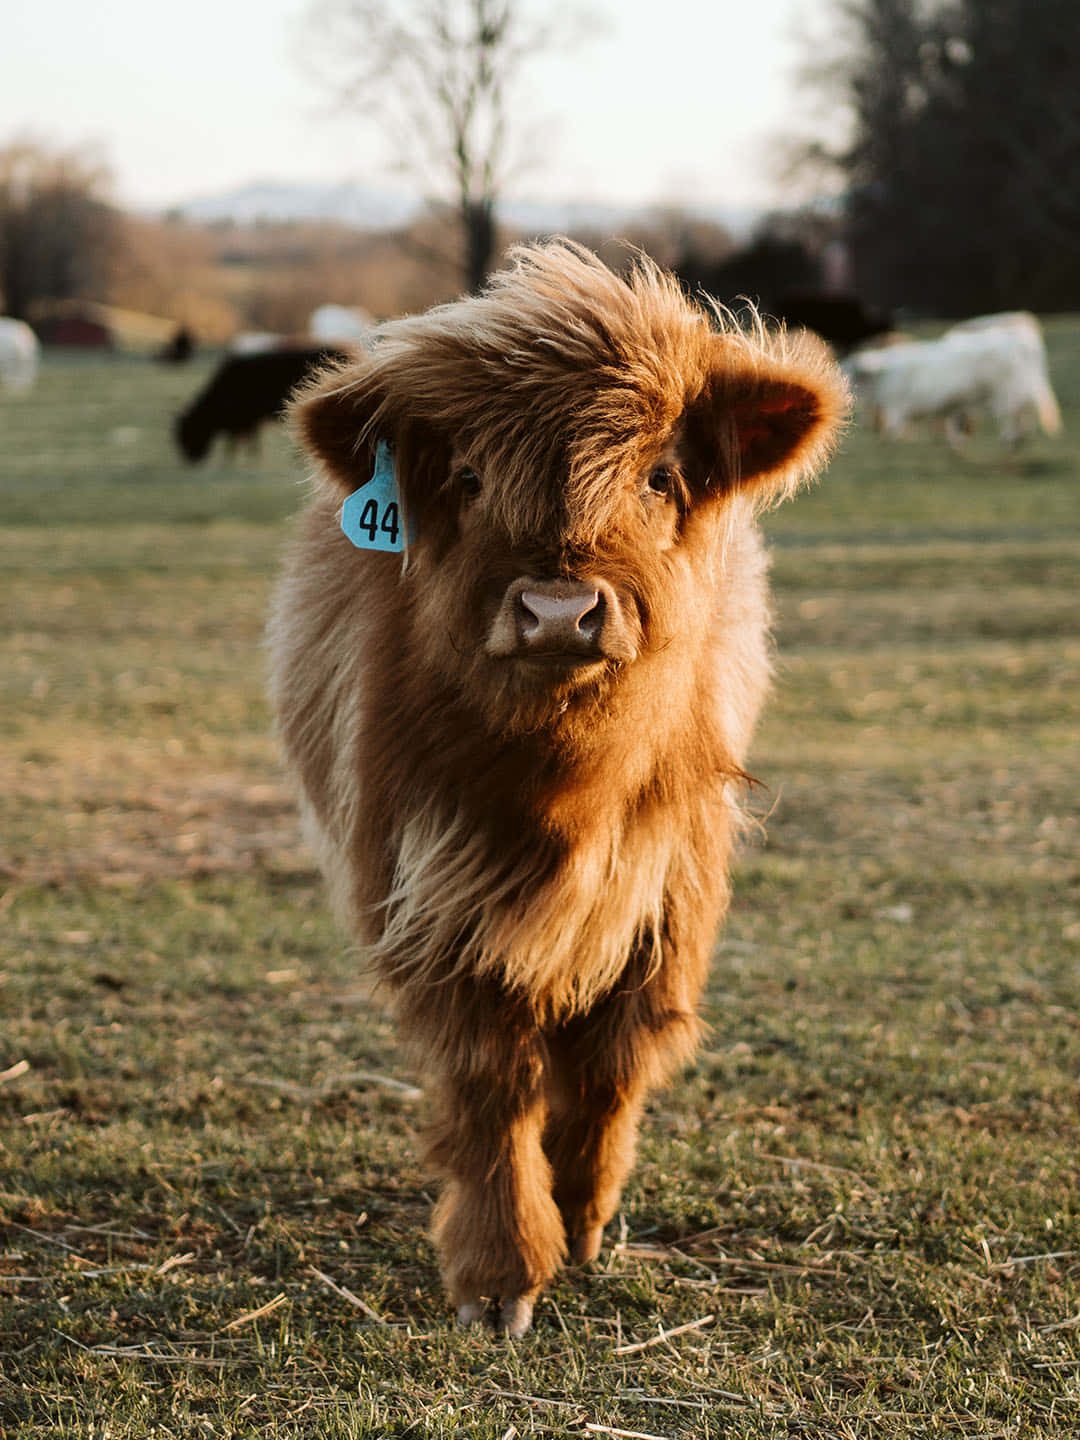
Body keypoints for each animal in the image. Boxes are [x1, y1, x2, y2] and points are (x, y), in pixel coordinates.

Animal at [268, 241, 849, 1336]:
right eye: (467, 475)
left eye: (659, 476)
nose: (557, 611)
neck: (564, 796)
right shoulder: (434, 892)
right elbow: (494, 1088)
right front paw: (500, 1277)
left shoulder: (668, 889)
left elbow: (612, 1065)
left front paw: (580, 1224)